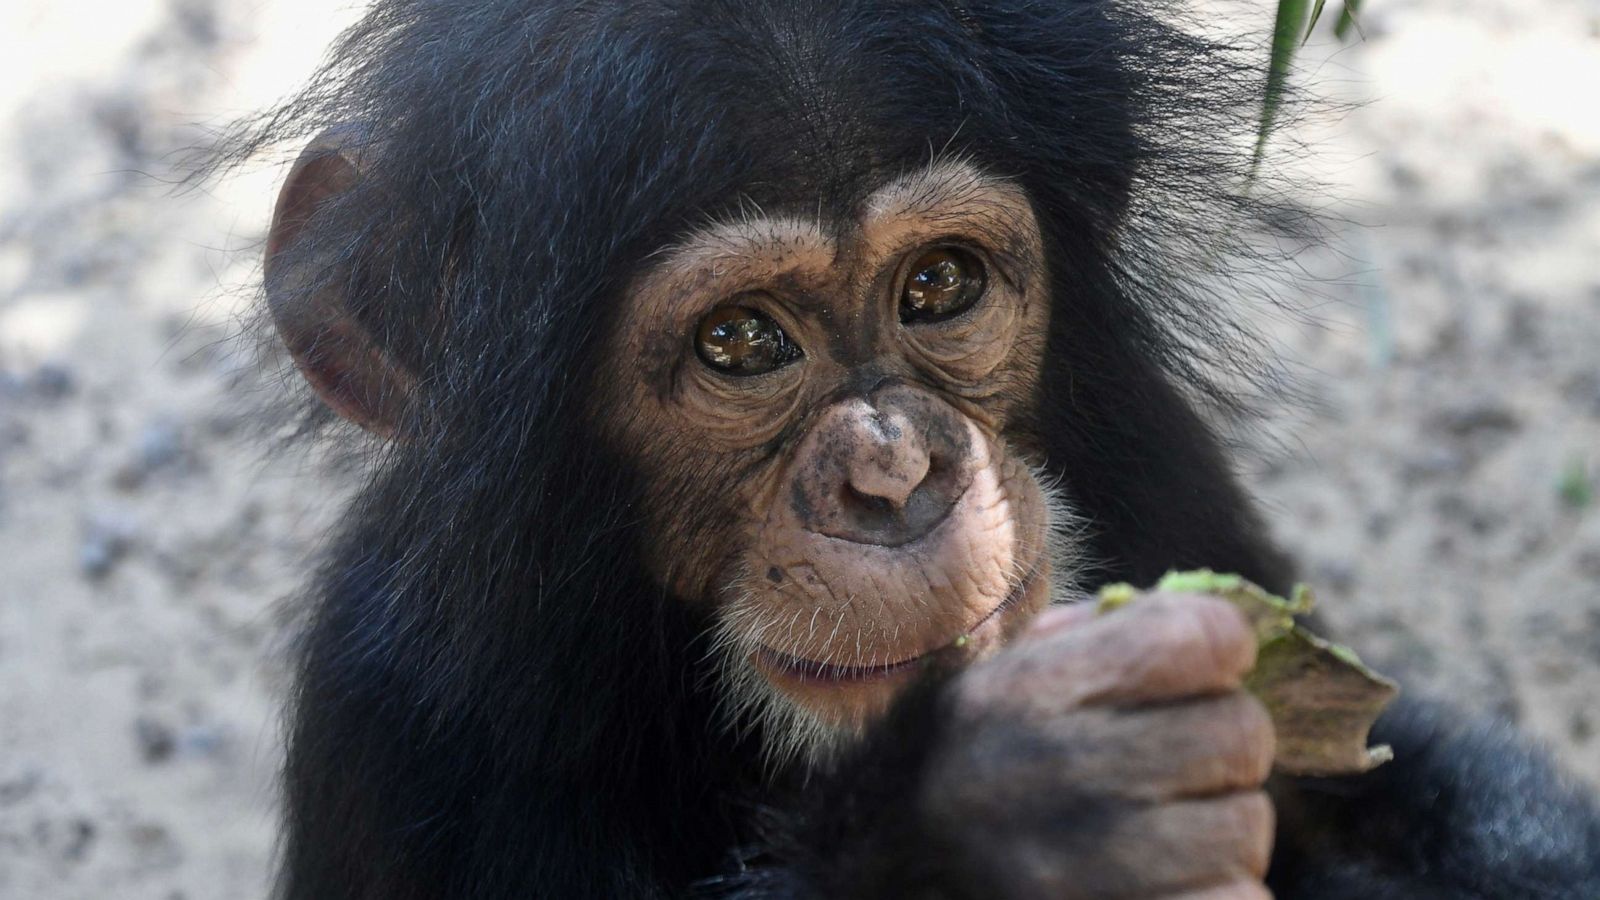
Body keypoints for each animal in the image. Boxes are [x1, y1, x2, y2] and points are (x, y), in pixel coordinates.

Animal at [246, 0, 1600, 890]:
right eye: (739, 342)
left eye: (938, 285)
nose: (895, 472)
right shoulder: (404, 718)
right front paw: (1014, 816)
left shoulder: (1157, 446)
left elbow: (1382, 757)